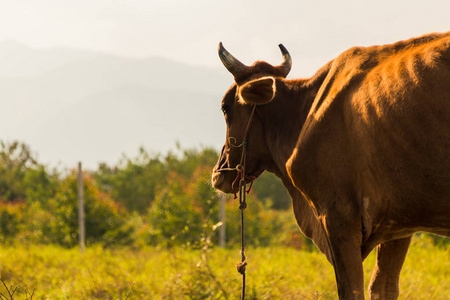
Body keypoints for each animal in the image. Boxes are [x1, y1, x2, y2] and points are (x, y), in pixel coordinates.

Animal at [212, 31, 450, 298]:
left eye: (225, 107)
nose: (218, 173)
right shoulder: (398, 225)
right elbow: (382, 287)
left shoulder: (338, 219)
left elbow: (352, 290)